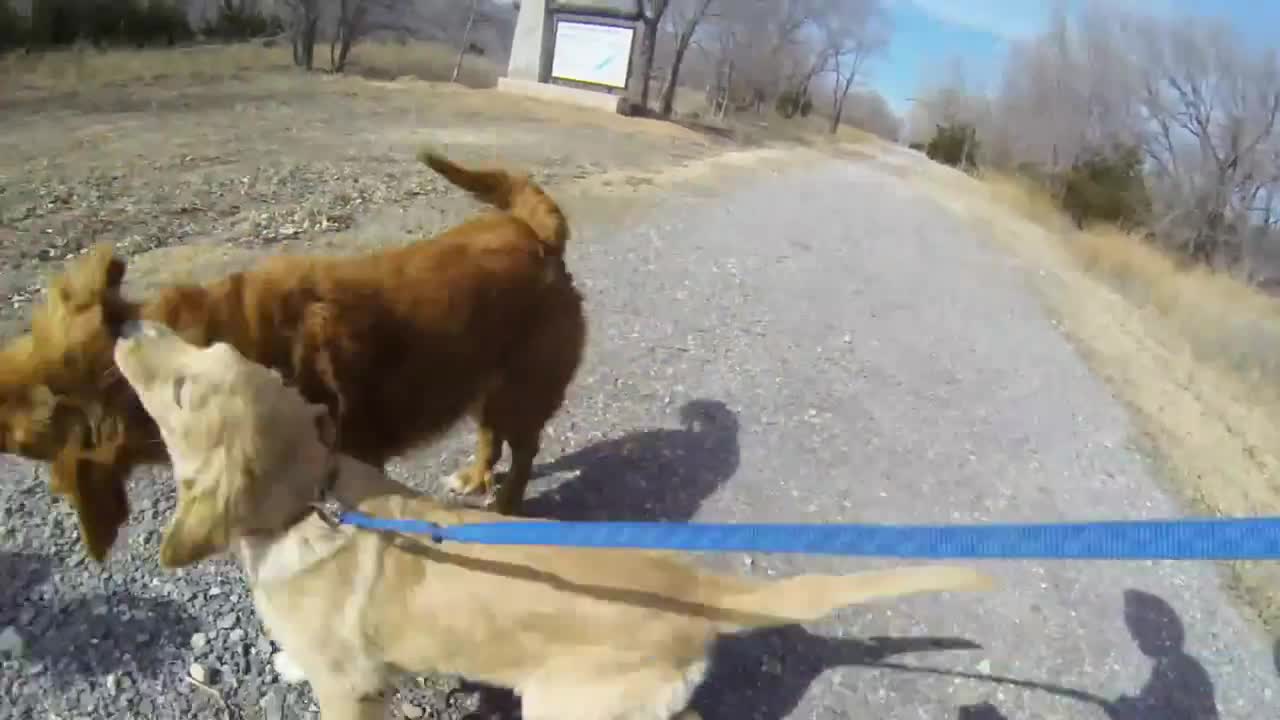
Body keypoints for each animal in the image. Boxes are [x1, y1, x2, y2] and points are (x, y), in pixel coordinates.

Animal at [0, 149, 586, 561]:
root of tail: (535, 234)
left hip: (522, 389)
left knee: (523, 450)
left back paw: (507, 505)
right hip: (487, 381)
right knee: (491, 435)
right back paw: (475, 478)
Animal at [117, 317, 998, 717]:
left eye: (183, 392)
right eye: (207, 351)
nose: (125, 322)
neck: (312, 497)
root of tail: (695, 591)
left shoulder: (353, 695)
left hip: (569, 709)